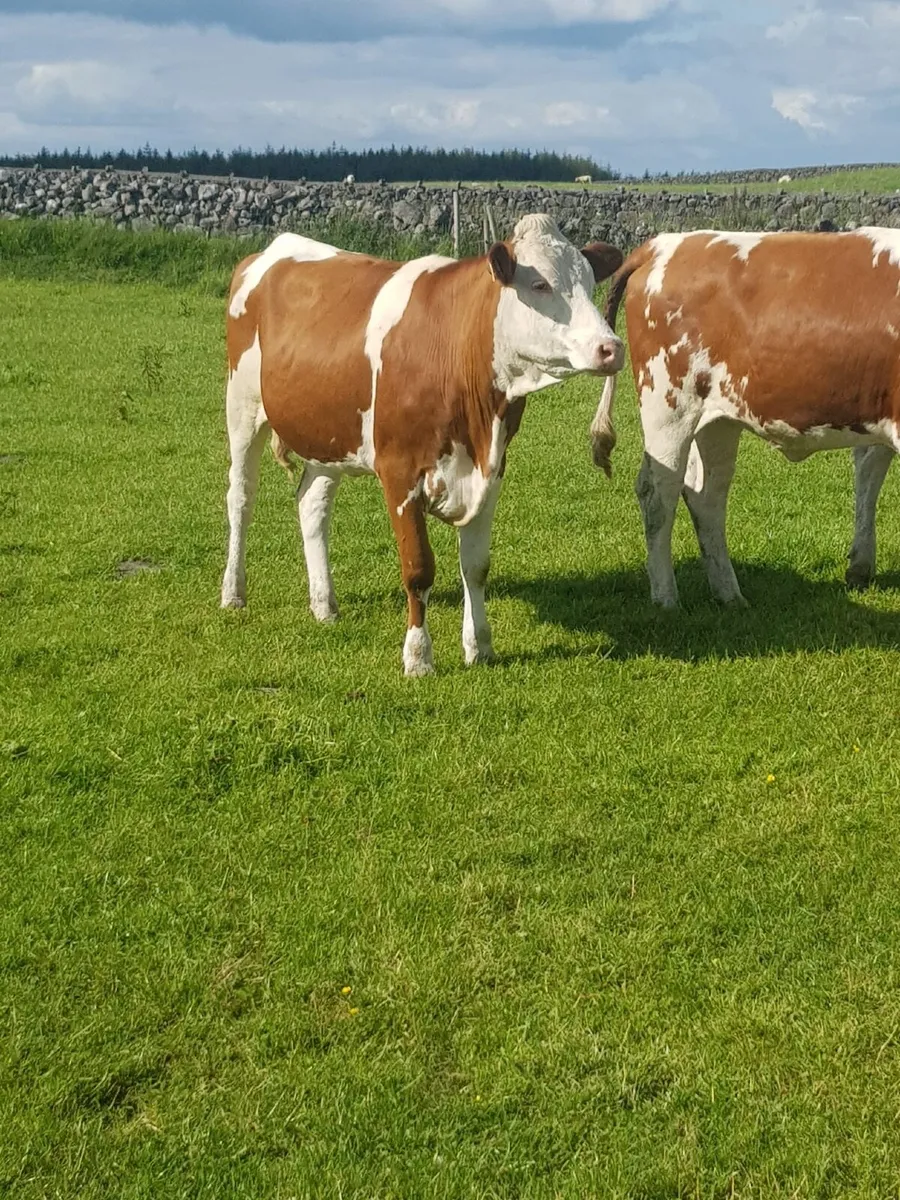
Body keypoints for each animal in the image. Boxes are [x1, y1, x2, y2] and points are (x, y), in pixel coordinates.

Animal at [222, 215, 625, 674]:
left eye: (590, 280)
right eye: (540, 284)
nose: (611, 347)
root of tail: (270, 250)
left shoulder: (493, 470)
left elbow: (476, 566)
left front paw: (479, 646)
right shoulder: (399, 473)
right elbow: (418, 568)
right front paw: (418, 656)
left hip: (328, 433)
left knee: (312, 504)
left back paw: (324, 604)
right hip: (242, 407)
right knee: (241, 498)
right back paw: (233, 593)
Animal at [588, 228, 900, 607]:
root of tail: (661, 244)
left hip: (717, 421)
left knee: (706, 495)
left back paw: (729, 595)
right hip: (668, 407)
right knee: (658, 493)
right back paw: (666, 598)